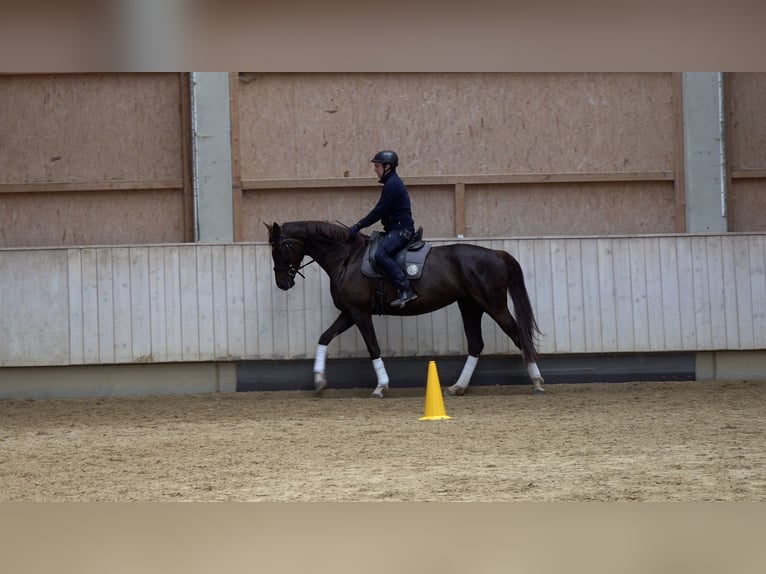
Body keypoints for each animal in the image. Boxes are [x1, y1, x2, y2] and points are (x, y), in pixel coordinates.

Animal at [268, 222, 544, 400]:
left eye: (279, 249)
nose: (282, 283)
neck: (347, 258)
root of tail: (496, 253)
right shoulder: (348, 313)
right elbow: (324, 337)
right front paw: (318, 381)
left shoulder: (359, 313)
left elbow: (373, 347)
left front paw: (381, 387)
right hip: (470, 307)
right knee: (476, 344)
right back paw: (457, 388)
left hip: (493, 305)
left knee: (519, 336)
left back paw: (537, 382)